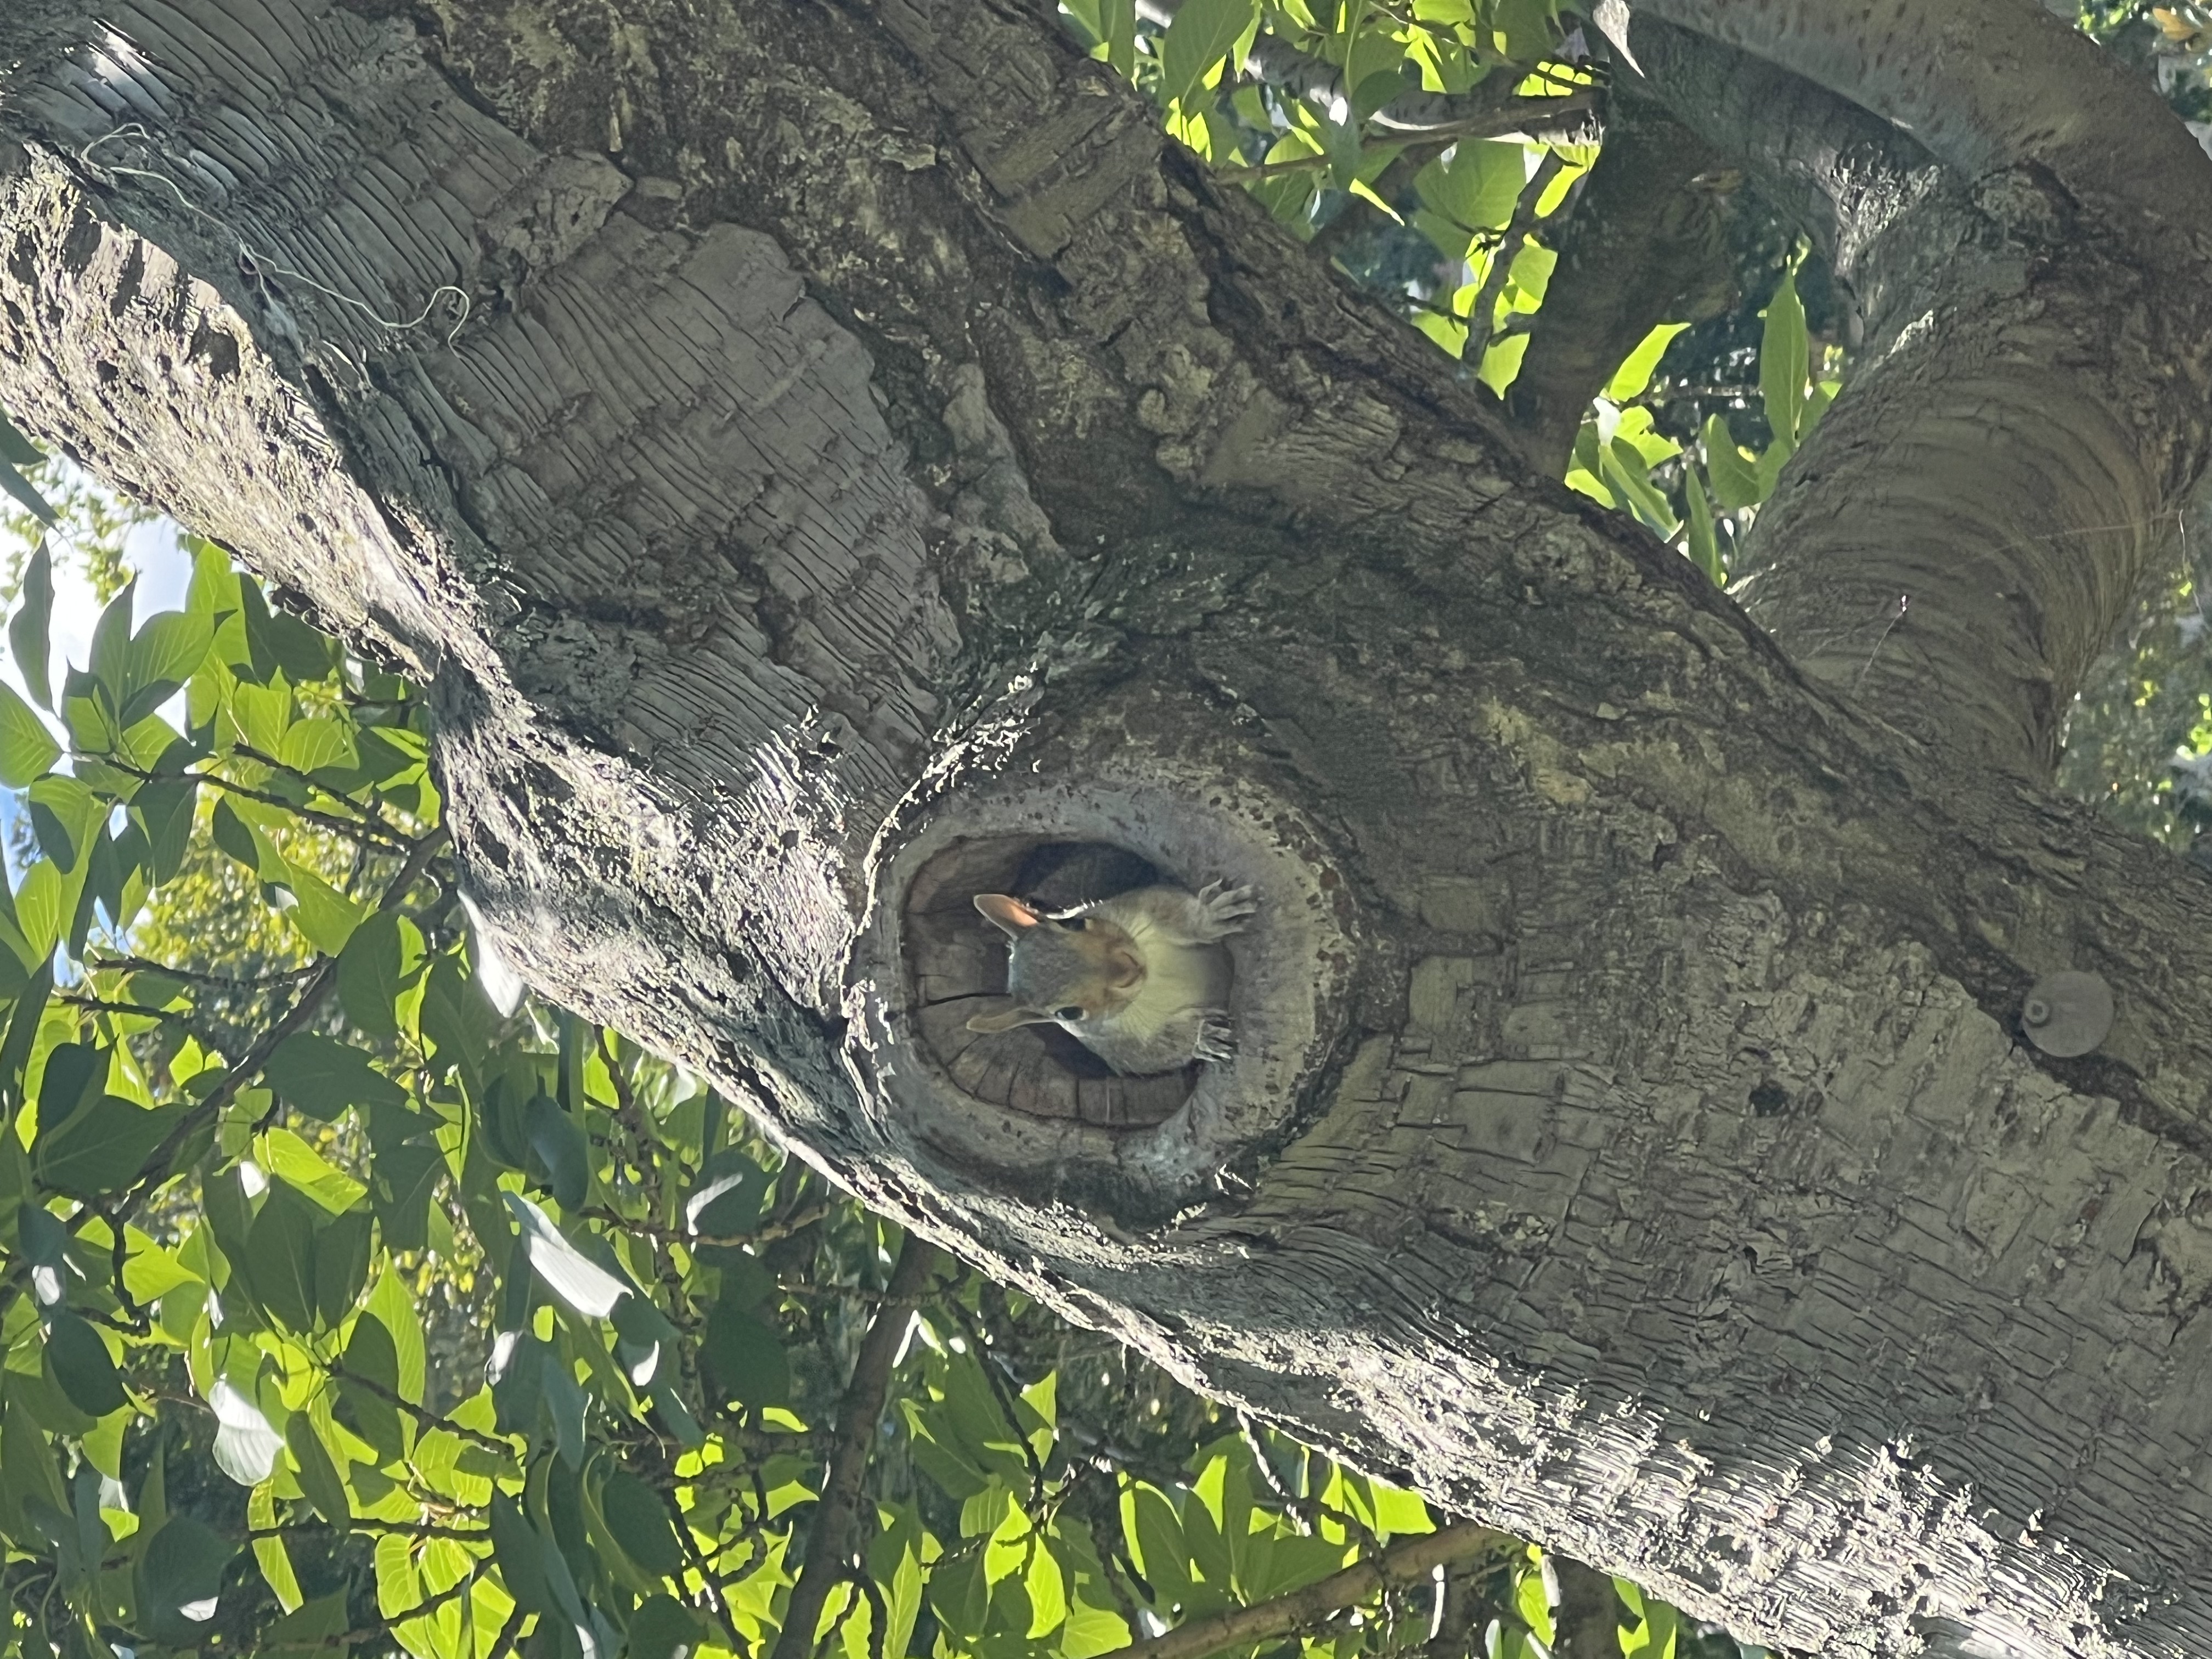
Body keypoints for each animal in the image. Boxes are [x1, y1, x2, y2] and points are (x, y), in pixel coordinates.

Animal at [965, 880, 1258, 1077]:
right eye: (1068, 1014)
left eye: (1073, 923)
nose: (1128, 969)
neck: (1152, 979)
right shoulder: (1125, 1048)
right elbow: (1164, 1050)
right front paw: (1204, 1037)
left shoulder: (1144, 904)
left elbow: (1177, 912)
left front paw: (1209, 918)